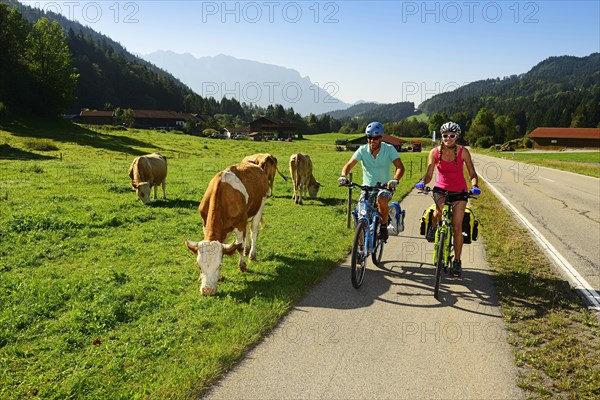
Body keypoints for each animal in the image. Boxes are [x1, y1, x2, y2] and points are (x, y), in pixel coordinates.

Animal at [183, 162, 268, 296]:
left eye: (219, 265)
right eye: (199, 266)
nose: (208, 291)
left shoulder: (239, 225)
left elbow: (239, 247)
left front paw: (242, 266)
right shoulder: (204, 223)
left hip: (260, 206)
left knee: (253, 231)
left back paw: (252, 254)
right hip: (246, 215)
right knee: (247, 230)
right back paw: (248, 249)